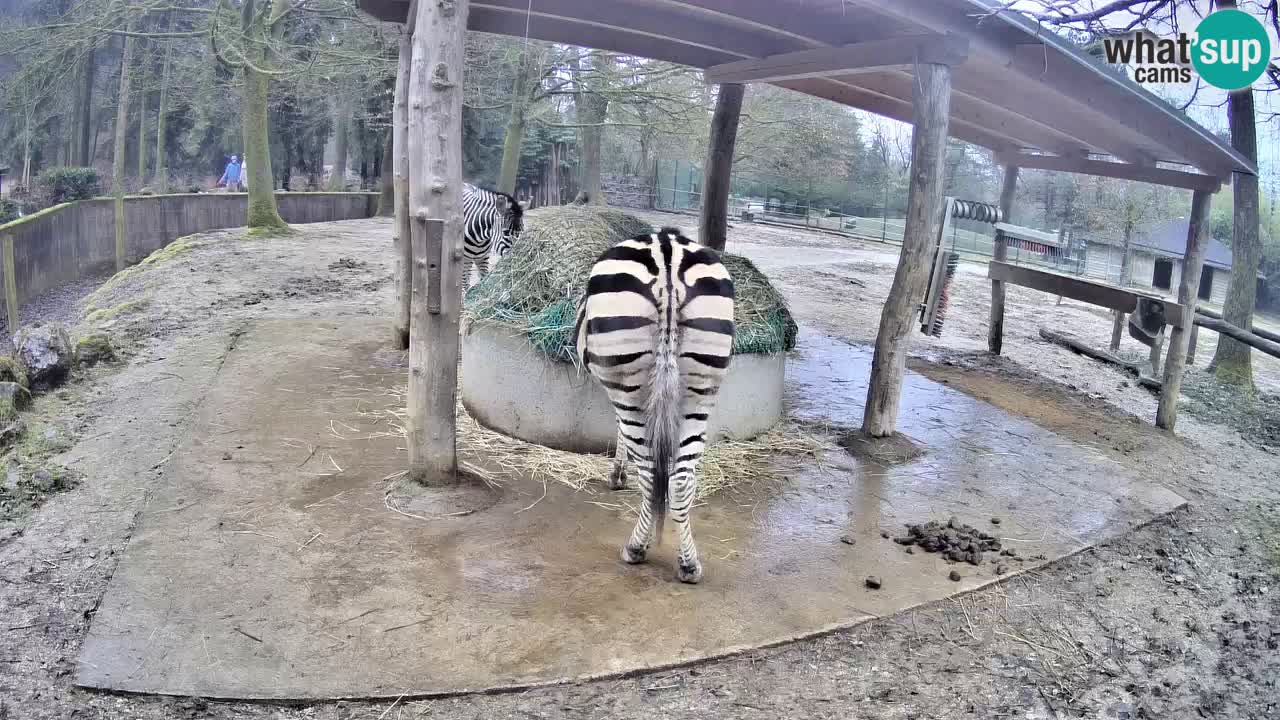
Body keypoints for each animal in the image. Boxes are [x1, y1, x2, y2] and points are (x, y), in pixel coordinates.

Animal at [574, 227, 736, 584]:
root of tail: (667, 256)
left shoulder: (614, 384)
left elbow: (620, 431)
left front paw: (617, 475)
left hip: (629, 385)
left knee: (649, 475)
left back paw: (635, 548)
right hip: (700, 389)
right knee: (680, 480)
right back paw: (688, 564)